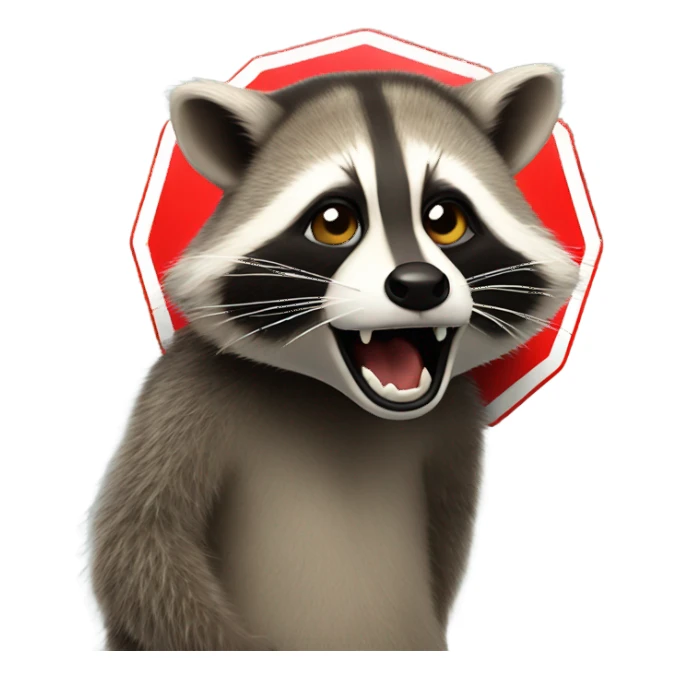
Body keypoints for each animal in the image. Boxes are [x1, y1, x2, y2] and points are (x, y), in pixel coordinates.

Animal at [90, 65, 579, 651]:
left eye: (446, 219)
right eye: (334, 221)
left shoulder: (456, 420)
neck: (344, 401)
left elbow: (448, 521)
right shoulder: (188, 390)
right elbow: (143, 538)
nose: (419, 285)